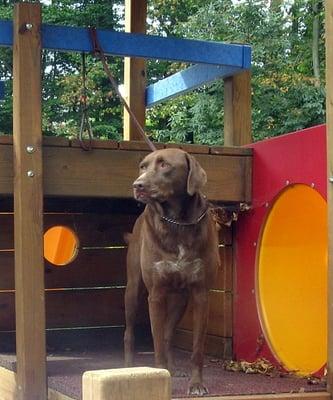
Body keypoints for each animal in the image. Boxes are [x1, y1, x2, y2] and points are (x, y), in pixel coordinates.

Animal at [123, 148, 219, 394]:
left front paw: (196, 384)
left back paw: (173, 369)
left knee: (168, 333)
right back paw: (128, 367)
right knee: (129, 332)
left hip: (180, 300)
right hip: (133, 291)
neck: (177, 222)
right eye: (143, 166)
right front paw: (159, 374)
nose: (137, 185)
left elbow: (196, 348)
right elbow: (156, 342)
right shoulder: (156, 294)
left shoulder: (200, 294)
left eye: (165, 165)